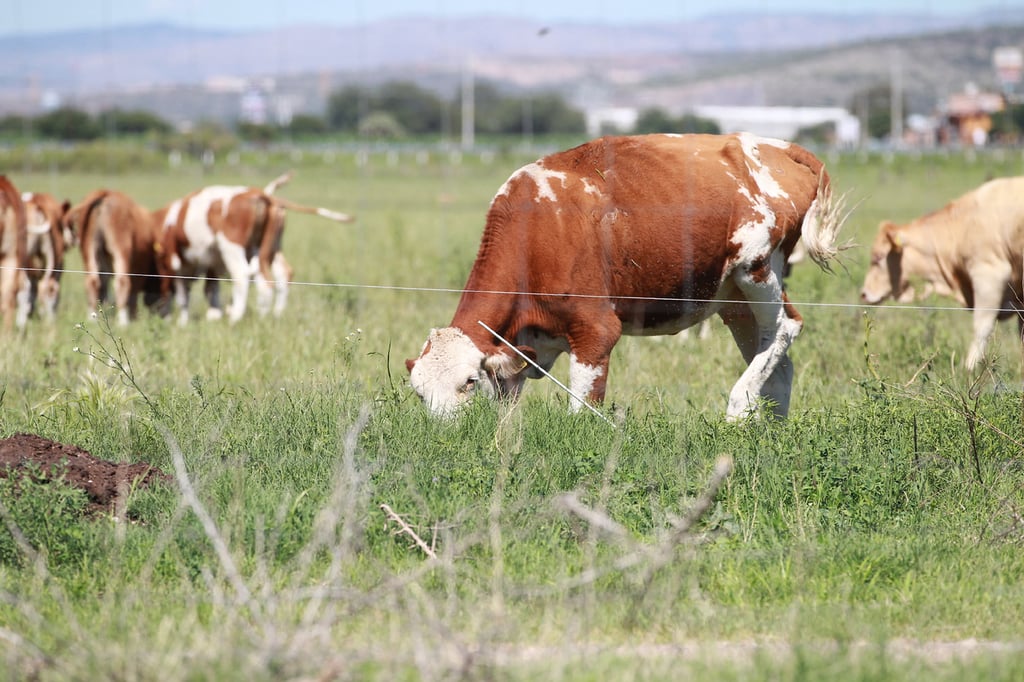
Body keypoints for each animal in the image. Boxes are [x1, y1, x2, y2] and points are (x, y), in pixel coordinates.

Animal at [62, 187, 164, 323]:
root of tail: (106, 193)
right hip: (121, 249)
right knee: (122, 282)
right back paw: (123, 322)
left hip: (89, 250)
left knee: (92, 282)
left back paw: (92, 319)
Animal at [157, 174, 354, 325]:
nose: (161, 315)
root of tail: (261, 194)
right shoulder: (211, 263)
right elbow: (210, 290)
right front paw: (213, 316)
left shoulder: (177, 264)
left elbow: (183, 294)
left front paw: (183, 322)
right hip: (271, 246)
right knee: (280, 274)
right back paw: (272, 314)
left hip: (232, 246)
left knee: (245, 276)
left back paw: (238, 318)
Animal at [403, 131, 843, 419]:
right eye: (420, 394)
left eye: (467, 382)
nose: (445, 434)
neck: (536, 228)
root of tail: (772, 145)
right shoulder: (518, 351)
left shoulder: (595, 333)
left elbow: (581, 409)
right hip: (732, 298)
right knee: (776, 360)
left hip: (757, 269)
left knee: (786, 327)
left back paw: (737, 409)